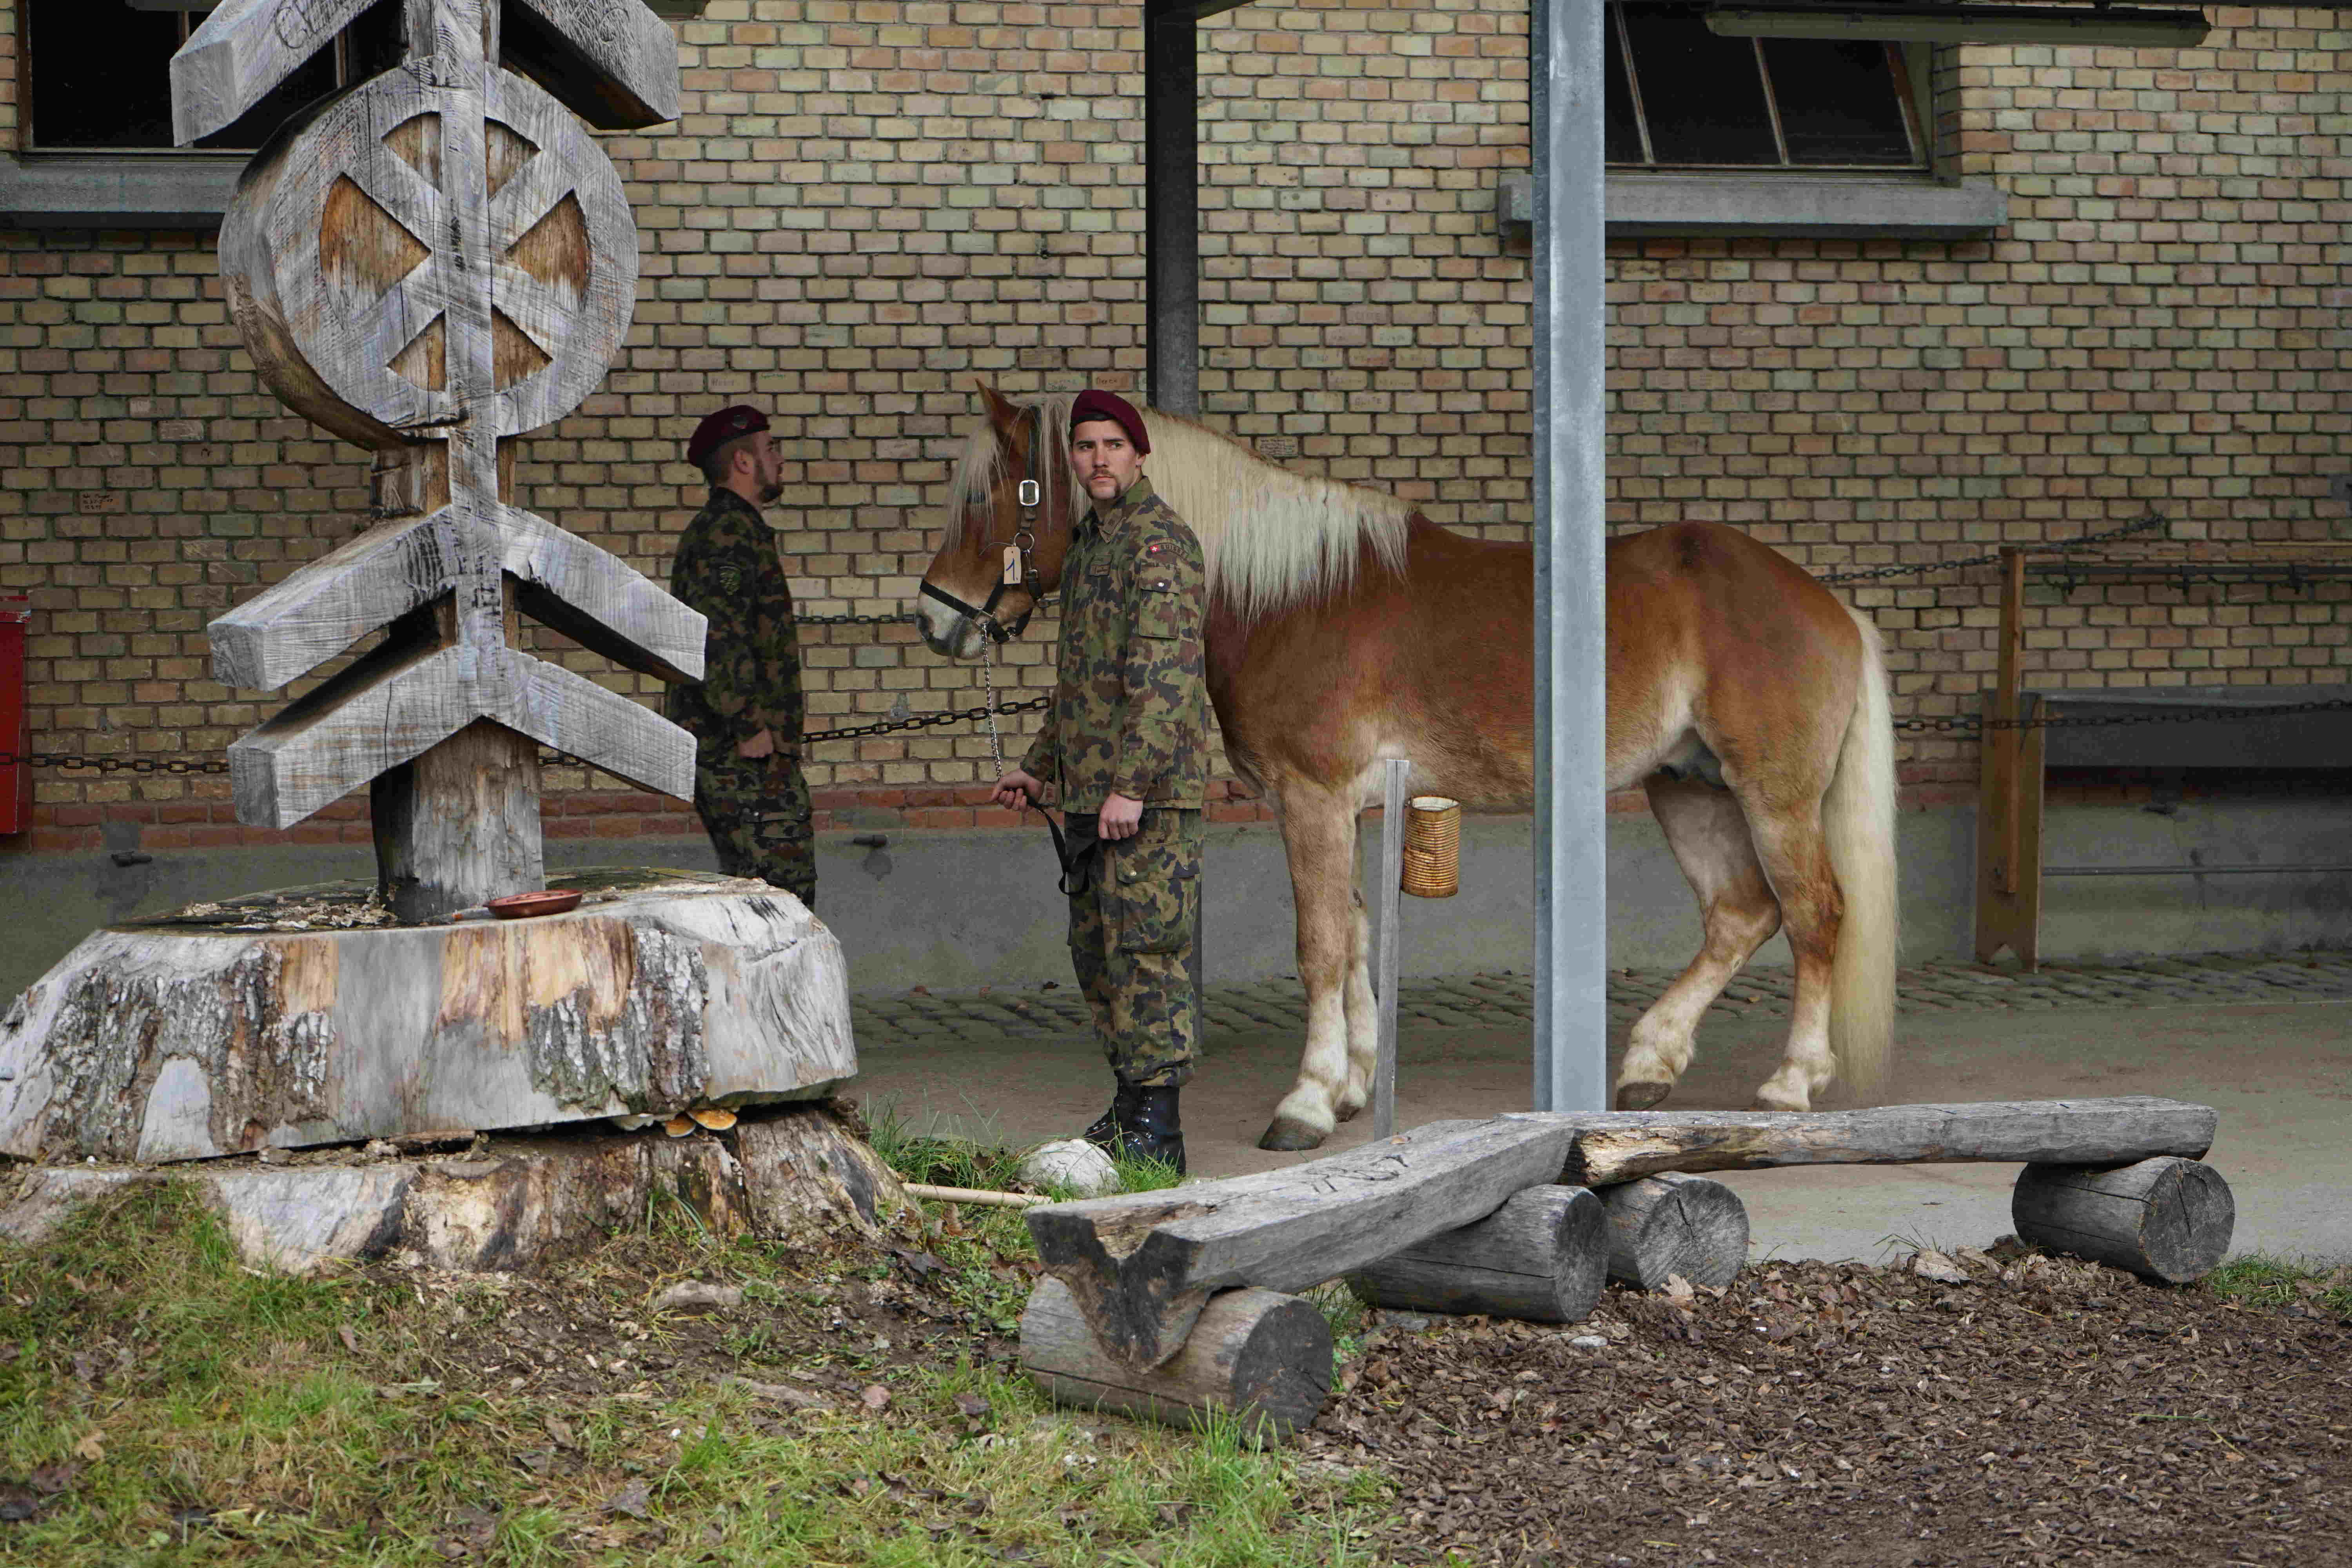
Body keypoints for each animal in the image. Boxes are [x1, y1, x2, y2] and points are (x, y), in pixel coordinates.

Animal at [915, 386, 1898, 1152]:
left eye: (991, 492)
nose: (935, 618)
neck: (1287, 590)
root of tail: (1828, 602)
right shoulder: (1338, 806)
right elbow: (1354, 932)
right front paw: (1354, 1085)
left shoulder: (1312, 798)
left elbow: (1319, 944)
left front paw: (1307, 1103)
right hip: (1688, 788)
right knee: (1741, 913)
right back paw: (1651, 1061)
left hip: (1772, 796)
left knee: (1814, 912)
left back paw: (1791, 1082)